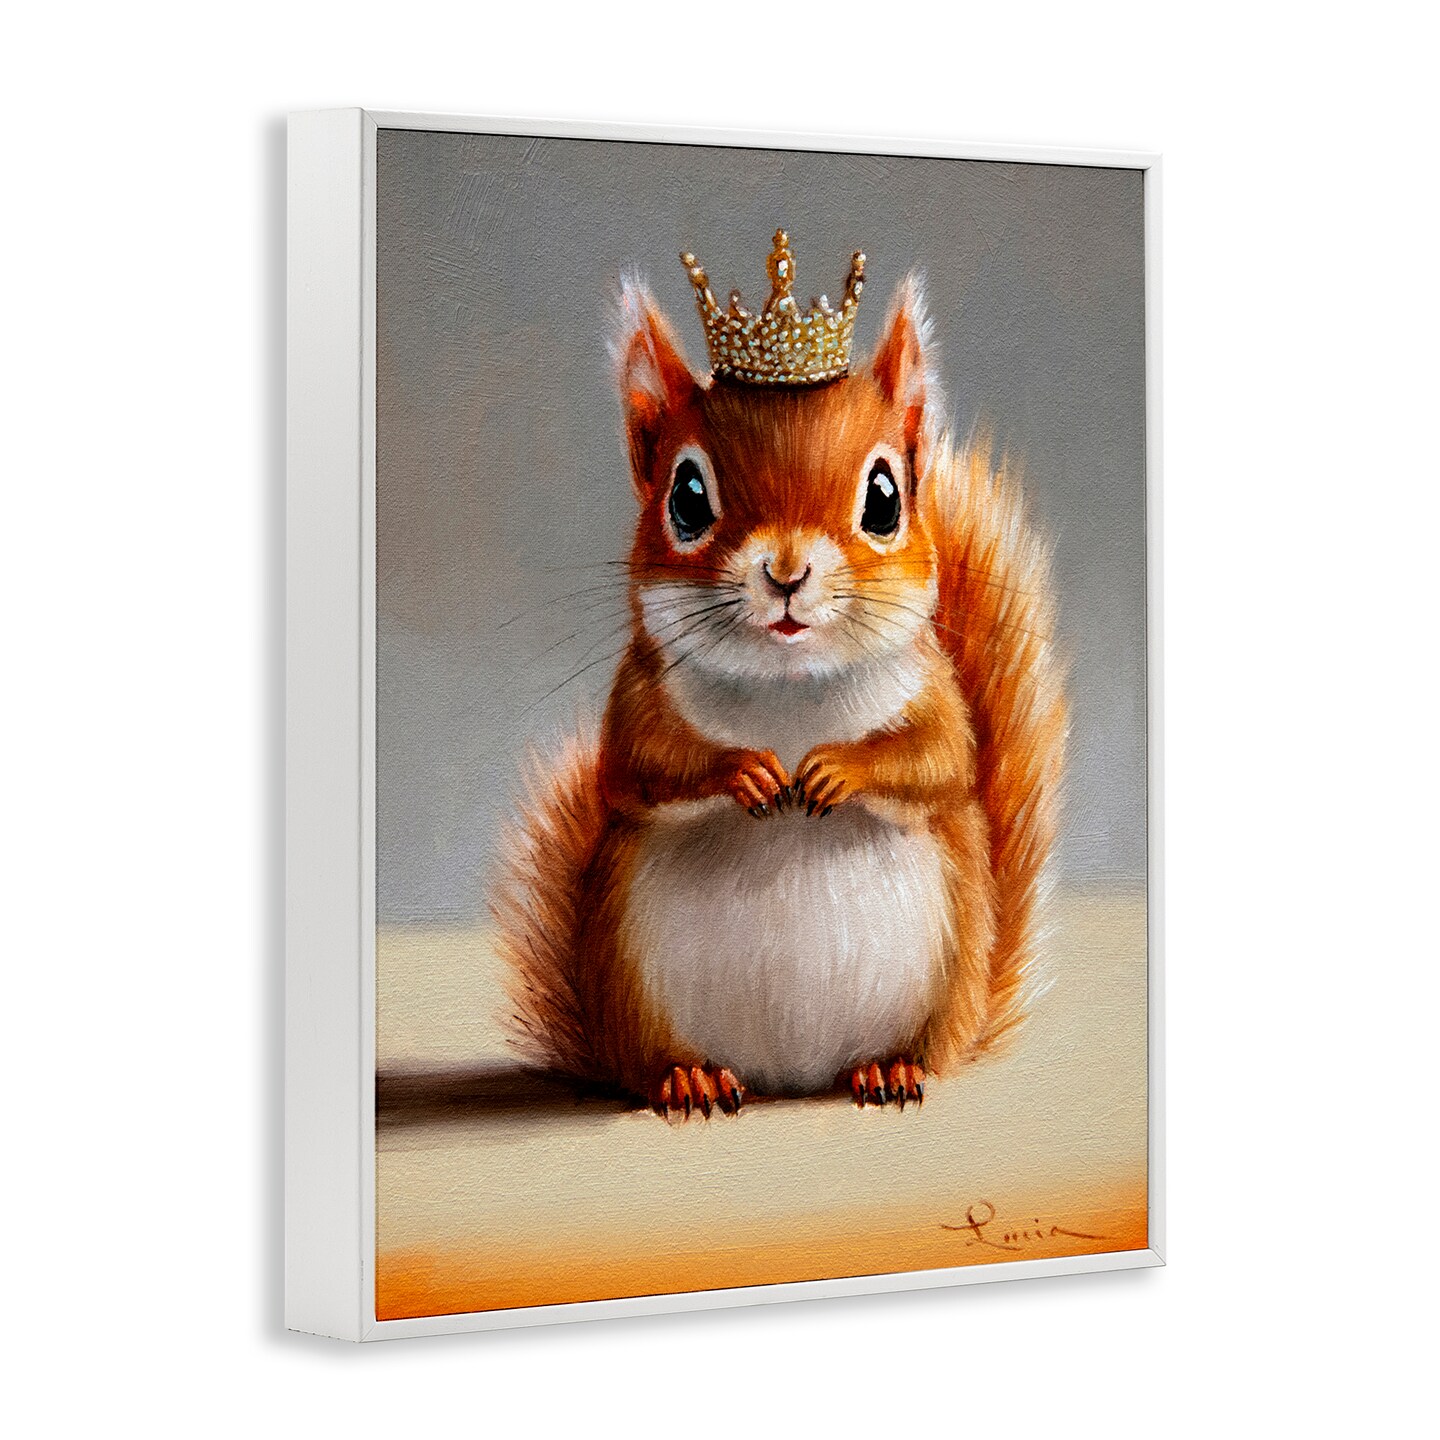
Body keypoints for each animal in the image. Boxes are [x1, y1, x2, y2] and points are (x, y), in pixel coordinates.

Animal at [492, 234, 1067, 1119]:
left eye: (885, 496)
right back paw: (689, 1077)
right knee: (654, 1062)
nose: (787, 572)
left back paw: (891, 1068)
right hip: (629, 980)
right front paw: (747, 772)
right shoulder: (638, 697)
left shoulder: (935, 693)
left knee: (923, 1051)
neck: (790, 691)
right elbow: (640, 765)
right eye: (687, 496)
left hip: (946, 979)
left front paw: (836, 770)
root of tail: (788, 1077)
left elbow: (939, 760)